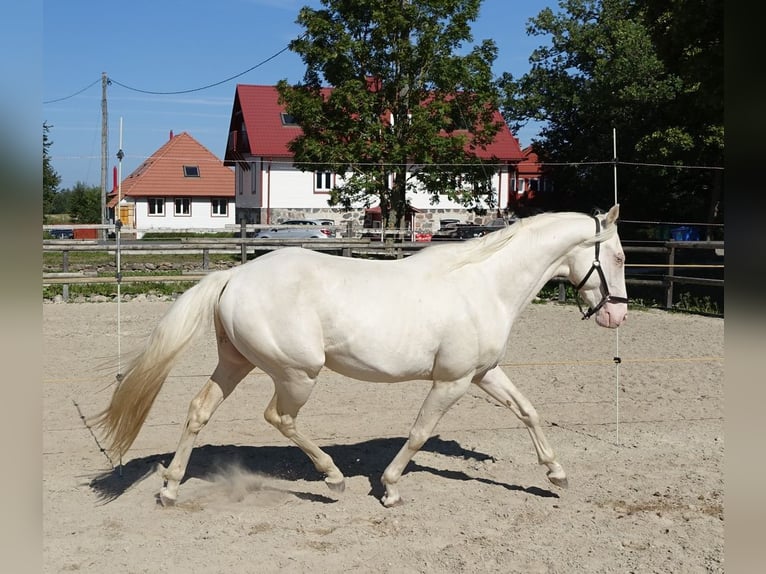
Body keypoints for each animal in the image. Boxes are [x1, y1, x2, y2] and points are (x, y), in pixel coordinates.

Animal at [93, 206, 628, 508]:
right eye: (620, 257)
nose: (617, 315)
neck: (484, 283)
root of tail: (234, 276)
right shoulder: (452, 381)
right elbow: (419, 433)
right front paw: (389, 489)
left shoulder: (483, 374)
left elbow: (528, 411)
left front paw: (556, 474)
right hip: (298, 374)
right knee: (279, 418)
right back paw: (332, 479)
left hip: (236, 363)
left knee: (199, 410)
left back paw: (169, 488)